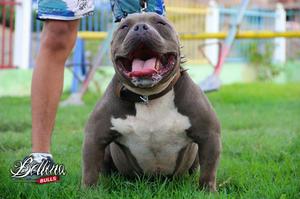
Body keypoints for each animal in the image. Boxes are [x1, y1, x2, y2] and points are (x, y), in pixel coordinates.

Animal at [82, 12, 220, 191]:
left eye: (161, 23)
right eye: (124, 26)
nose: (140, 27)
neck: (148, 96)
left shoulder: (208, 135)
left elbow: (208, 169)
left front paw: (207, 191)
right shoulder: (95, 137)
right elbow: (90, 168)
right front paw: (89, 191)